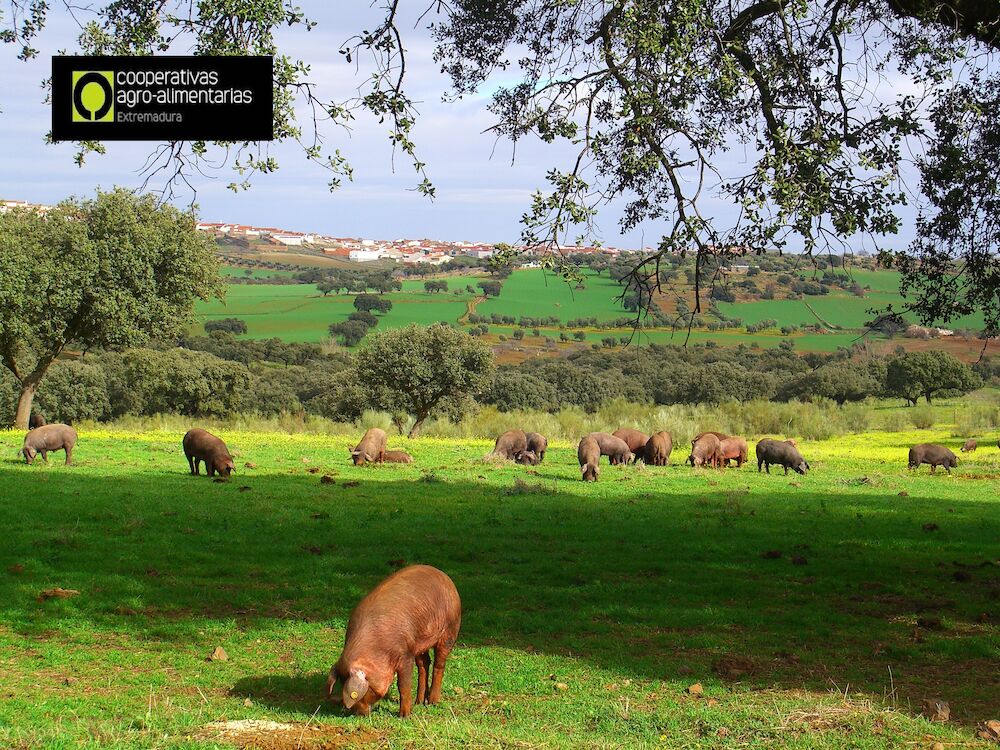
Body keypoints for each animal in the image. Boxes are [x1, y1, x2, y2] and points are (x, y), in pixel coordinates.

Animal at [328, 568, 460, 720]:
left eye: (363, 692)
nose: (360, 715)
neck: (377, 649)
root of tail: (445, 577)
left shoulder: (405, 654)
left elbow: (403, 685)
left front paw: (405, 716)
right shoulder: (411, 647)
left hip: (450, 628)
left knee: (439, 664)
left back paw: (433, 702)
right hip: (419, 642)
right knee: (424, 663)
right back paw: (420, 702)